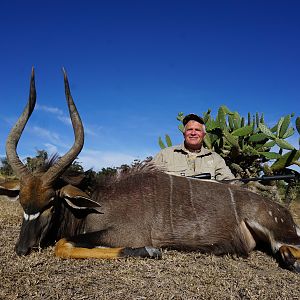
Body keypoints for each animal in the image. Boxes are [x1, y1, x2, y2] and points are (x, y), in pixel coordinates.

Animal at [1, 69, 300, 274]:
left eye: (51, 203)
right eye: (23, 203)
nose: (22, 249)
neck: (97, 201)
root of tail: (281, 211)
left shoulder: (123, 233)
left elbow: (63, 245)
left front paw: (150, 251)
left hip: (280, 232)